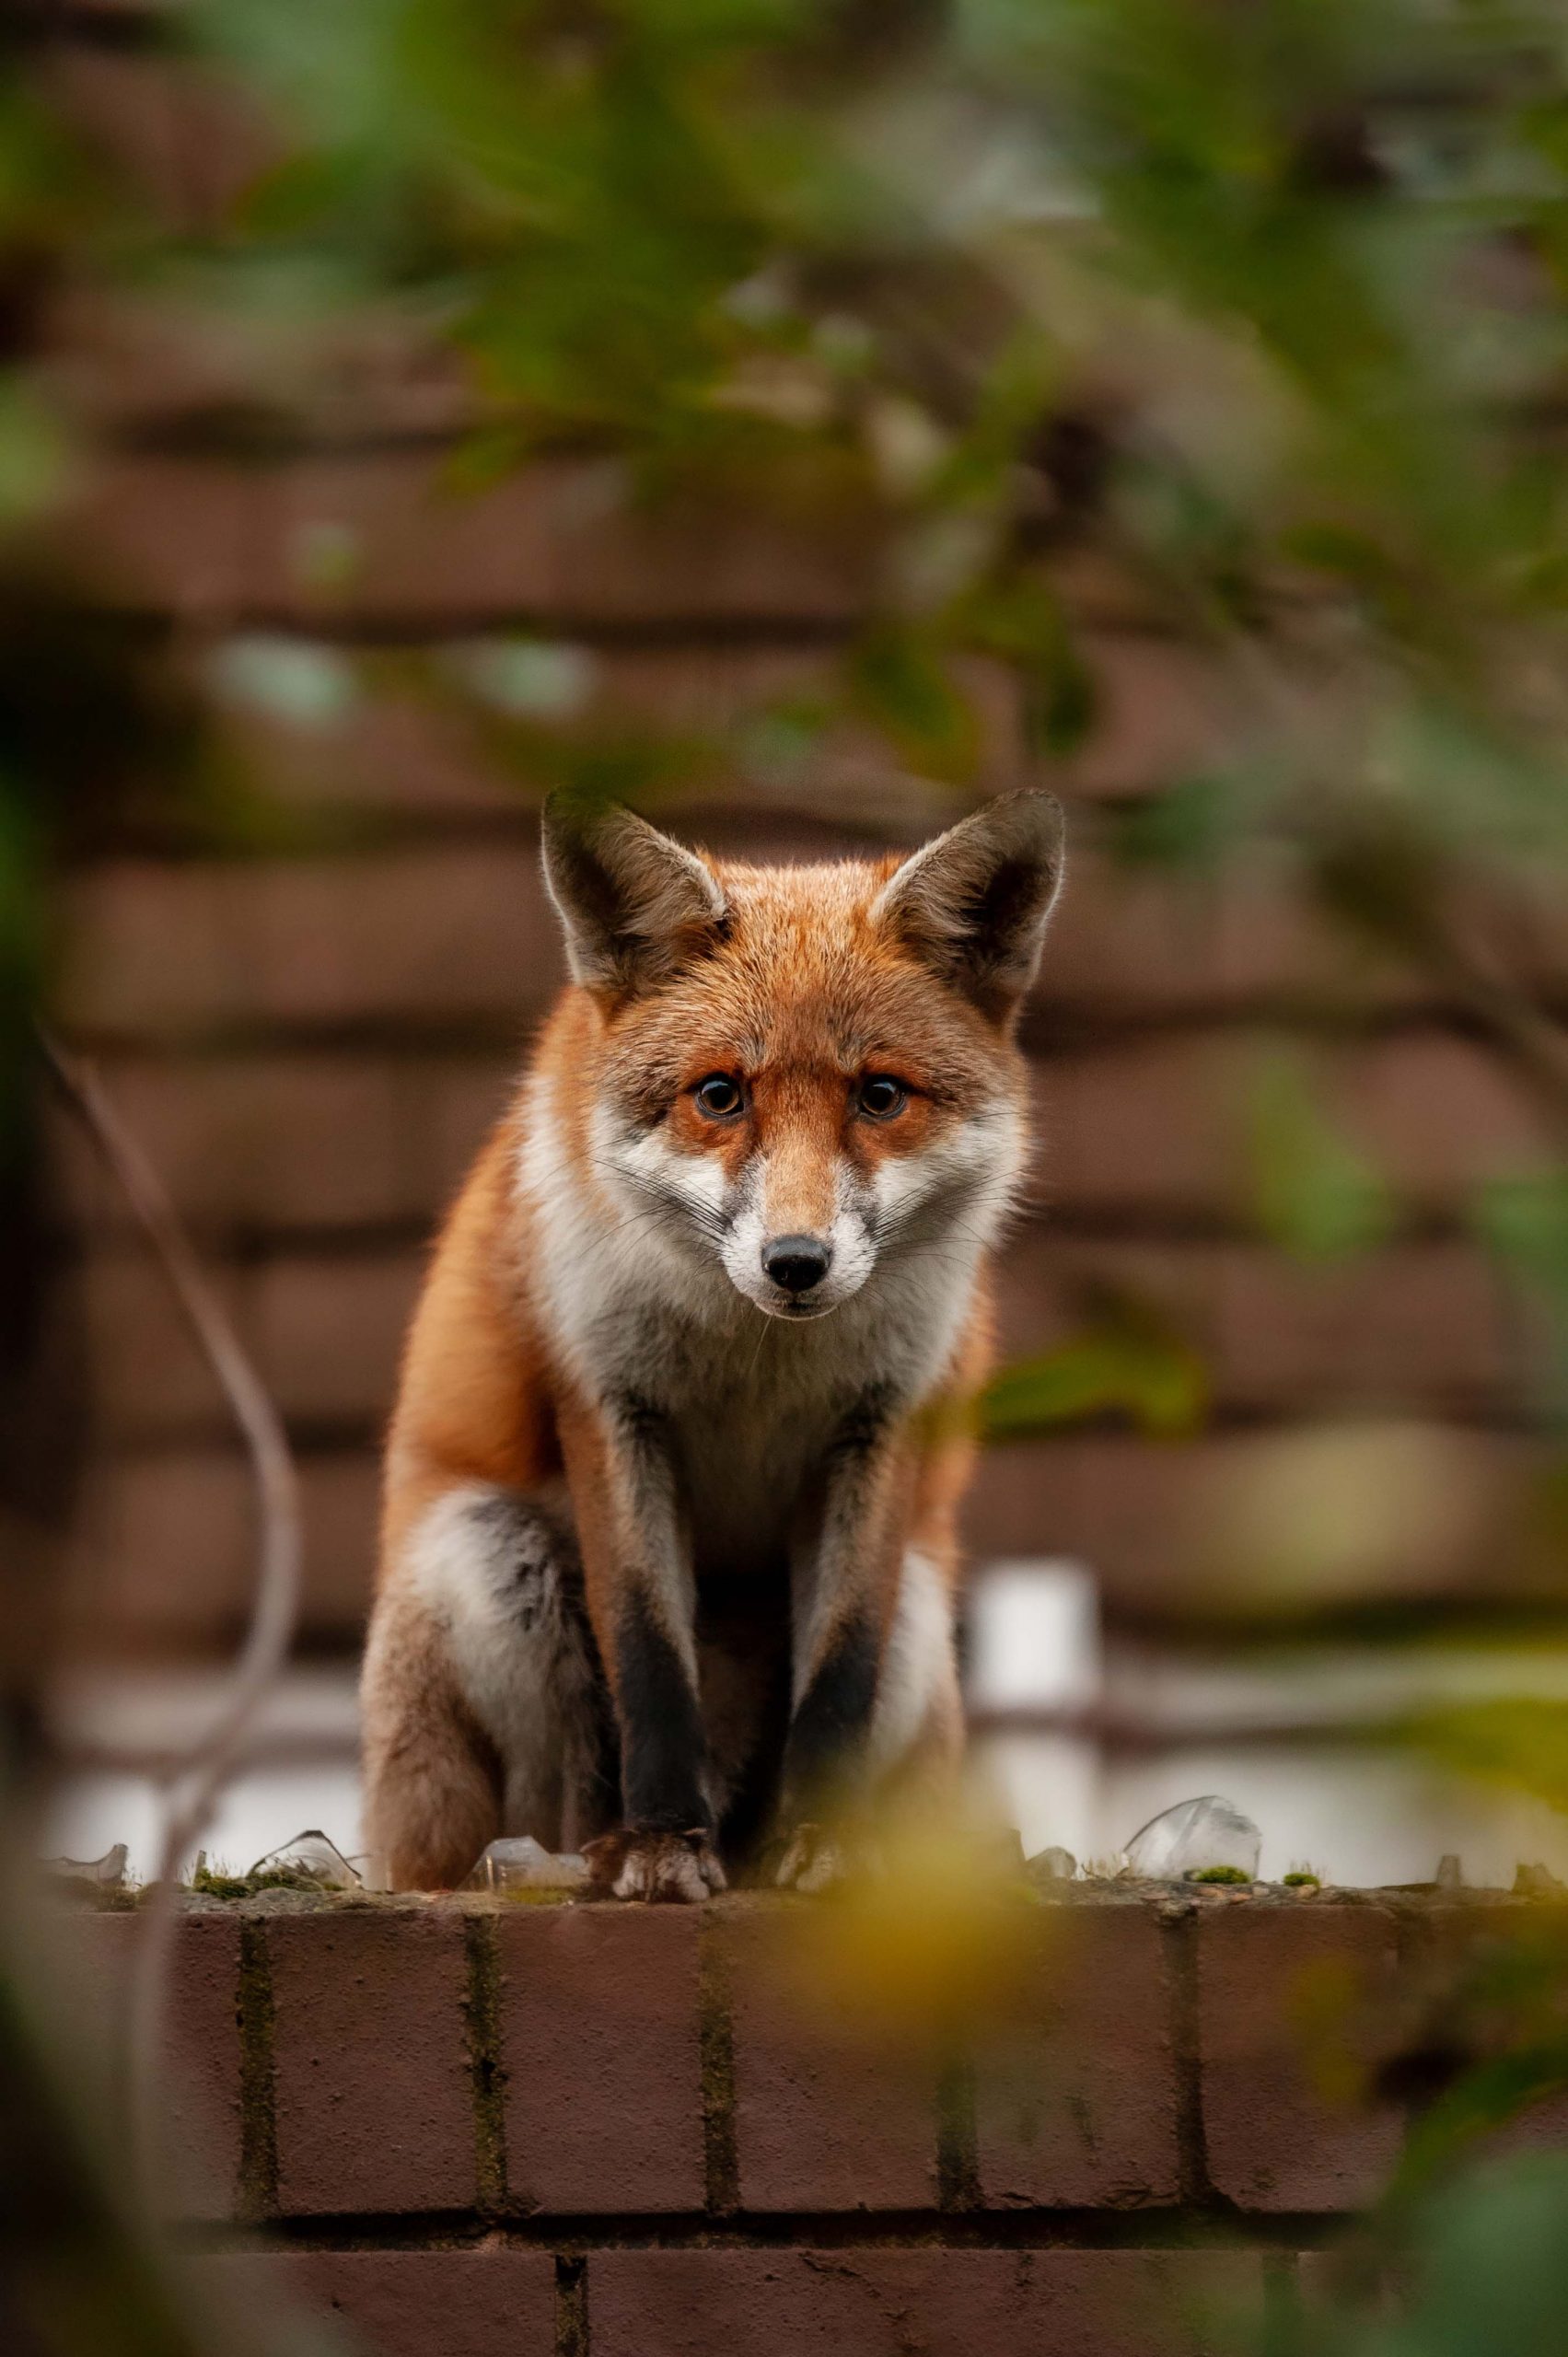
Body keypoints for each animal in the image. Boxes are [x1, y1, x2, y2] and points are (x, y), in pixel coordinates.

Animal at [359, 787, 1064, 1899]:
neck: (756, 1363)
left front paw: (826, 1844)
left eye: (878, 1095)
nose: (795, 1262)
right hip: (485, 1554)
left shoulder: (882, 1426)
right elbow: (648, 1657)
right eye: (720, 1094)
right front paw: (657, 1841)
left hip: (920, 1612)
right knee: (558, 1799)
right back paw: (574, 1857)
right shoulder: (609, 1406)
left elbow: (839, 1671)